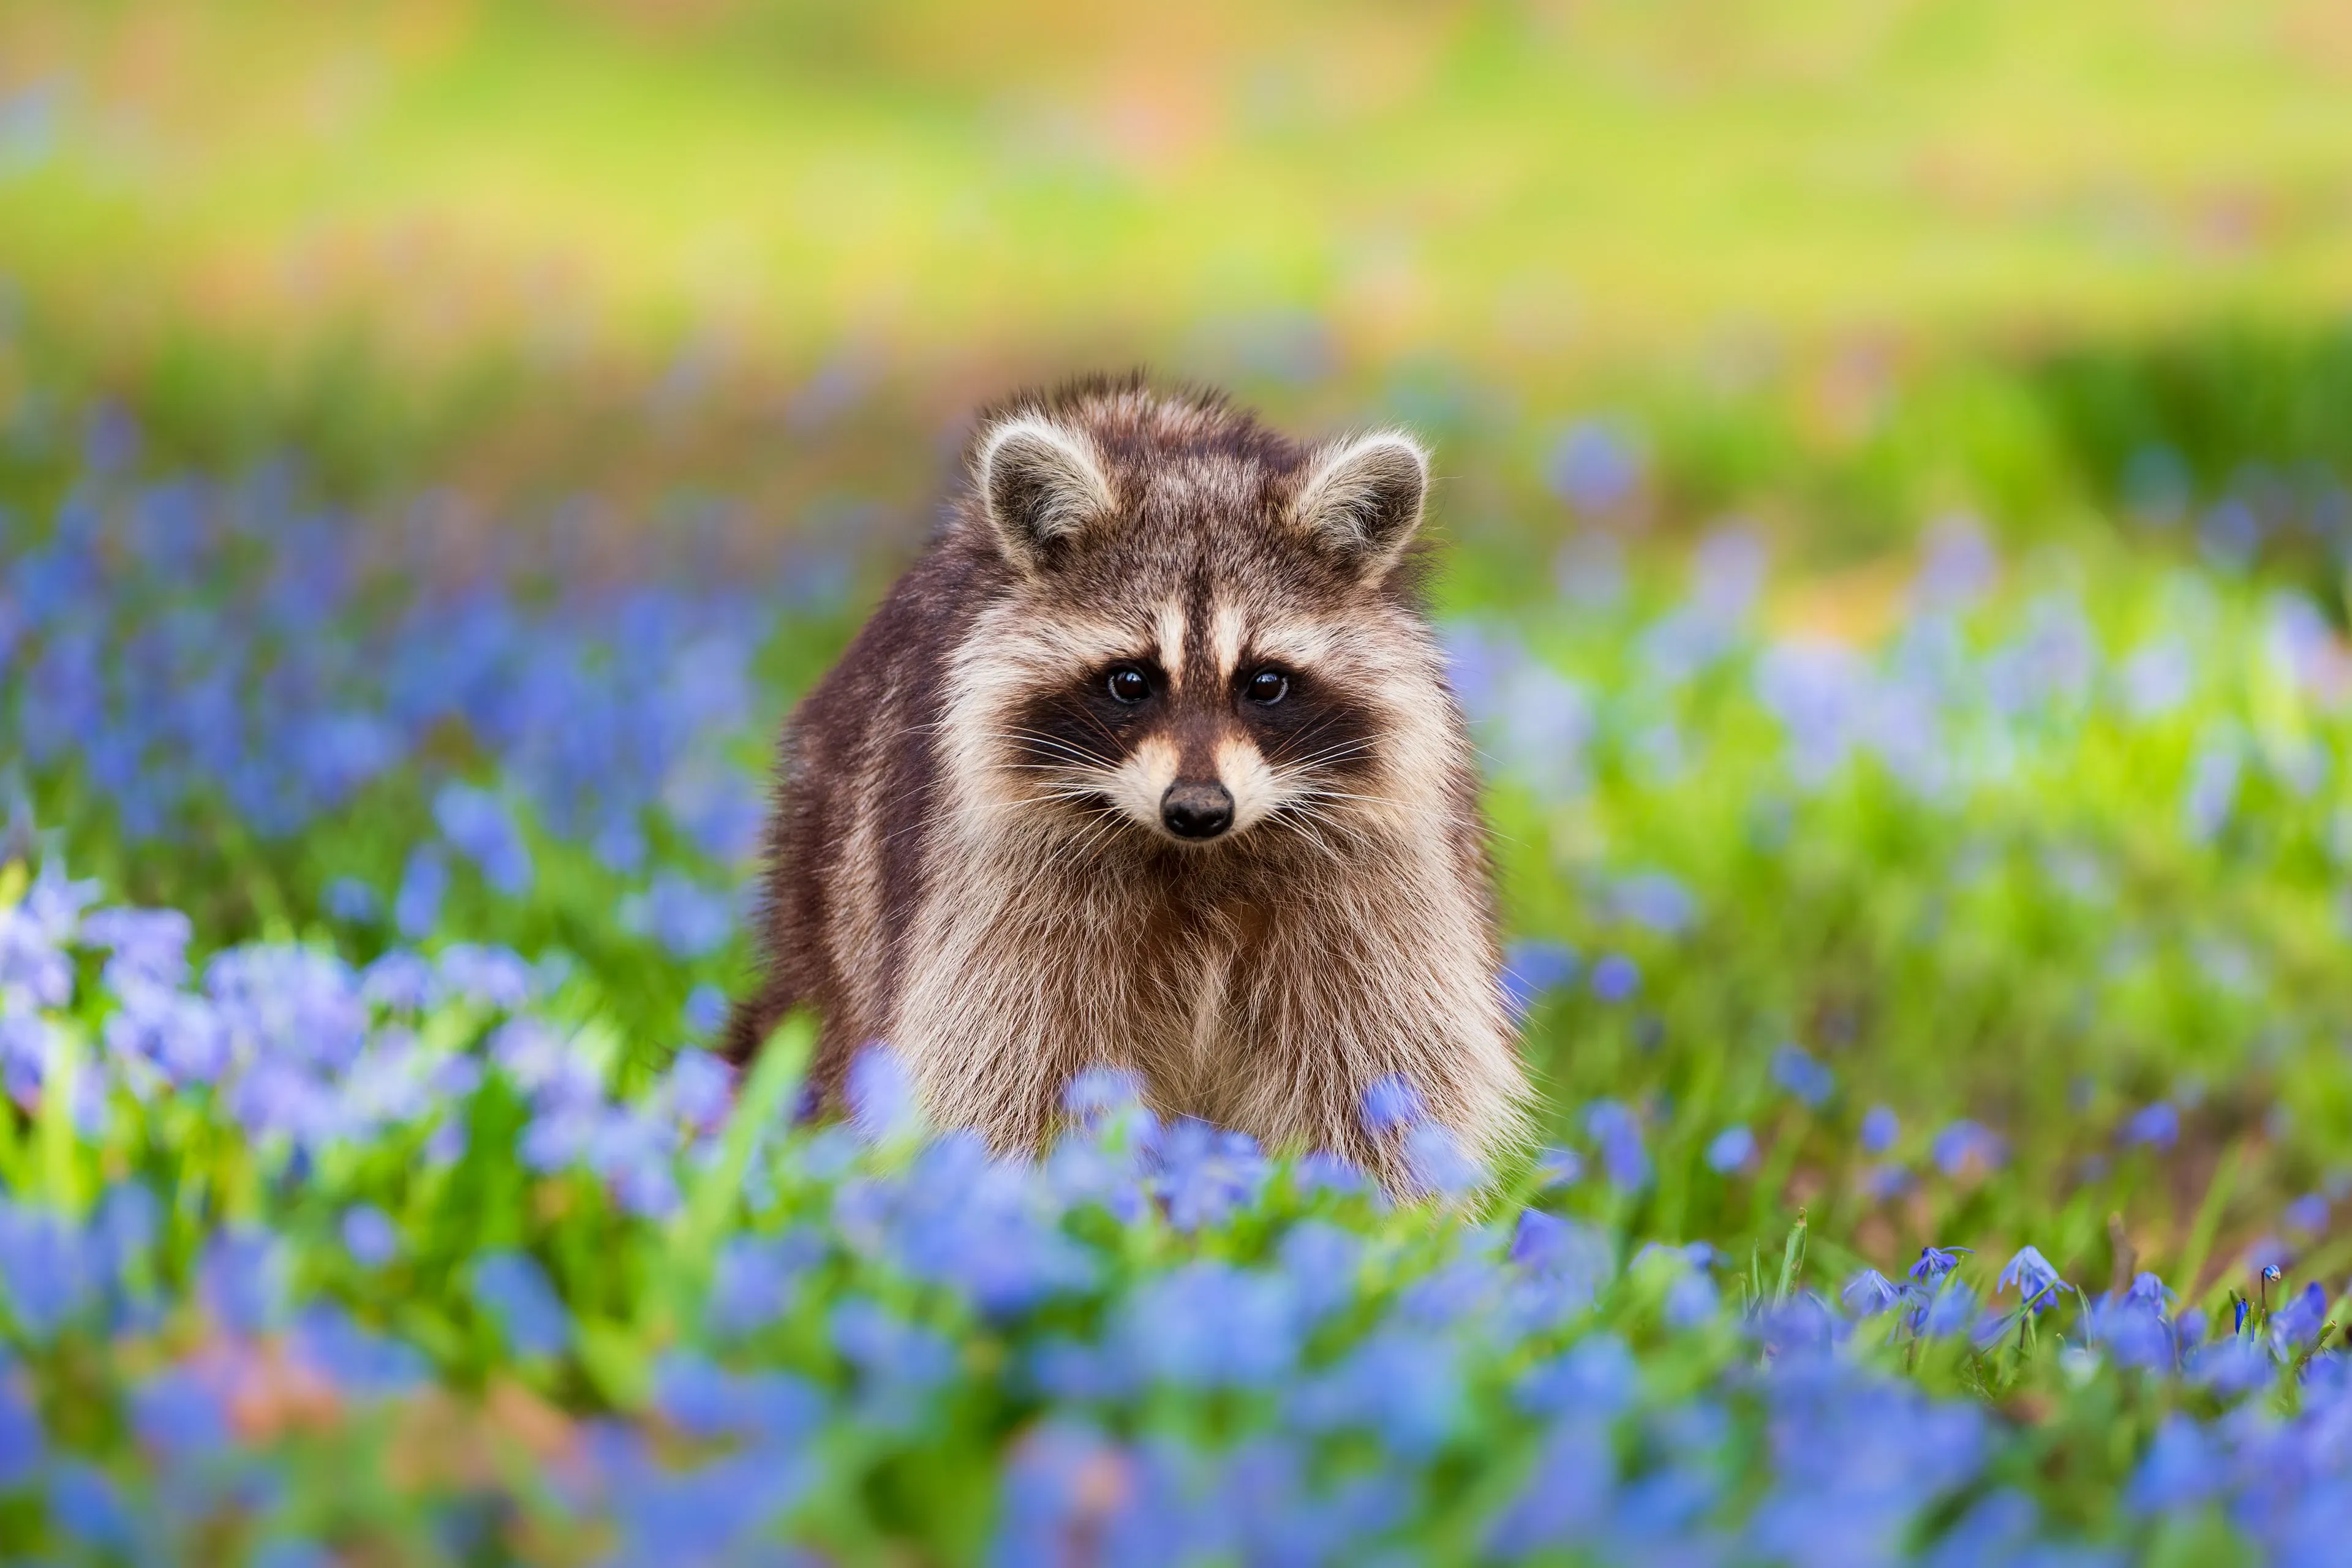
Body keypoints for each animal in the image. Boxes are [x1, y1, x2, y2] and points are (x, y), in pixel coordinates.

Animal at [724, 375, 1531, 1186]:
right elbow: (1003, 1064)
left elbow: (1388, 1061)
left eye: (1265, 683)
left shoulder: (1374, 888)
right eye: (1131, 681)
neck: (1200, 858)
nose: (1199, 808)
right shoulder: (999, 892)